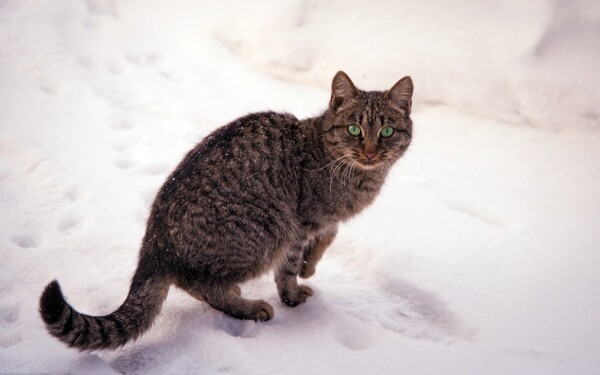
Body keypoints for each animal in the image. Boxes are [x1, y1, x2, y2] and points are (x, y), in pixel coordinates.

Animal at [37, 71, 412, 352]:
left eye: (387, 131)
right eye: (354, 129)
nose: (370, 152)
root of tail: (154, 243)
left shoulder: (320, 222)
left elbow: (328, 235)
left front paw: (311, 264)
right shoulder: (299, 224)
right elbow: (288, 270)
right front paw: (294, 291)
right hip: (269, 229)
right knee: (200, 284)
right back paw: (249, 307)